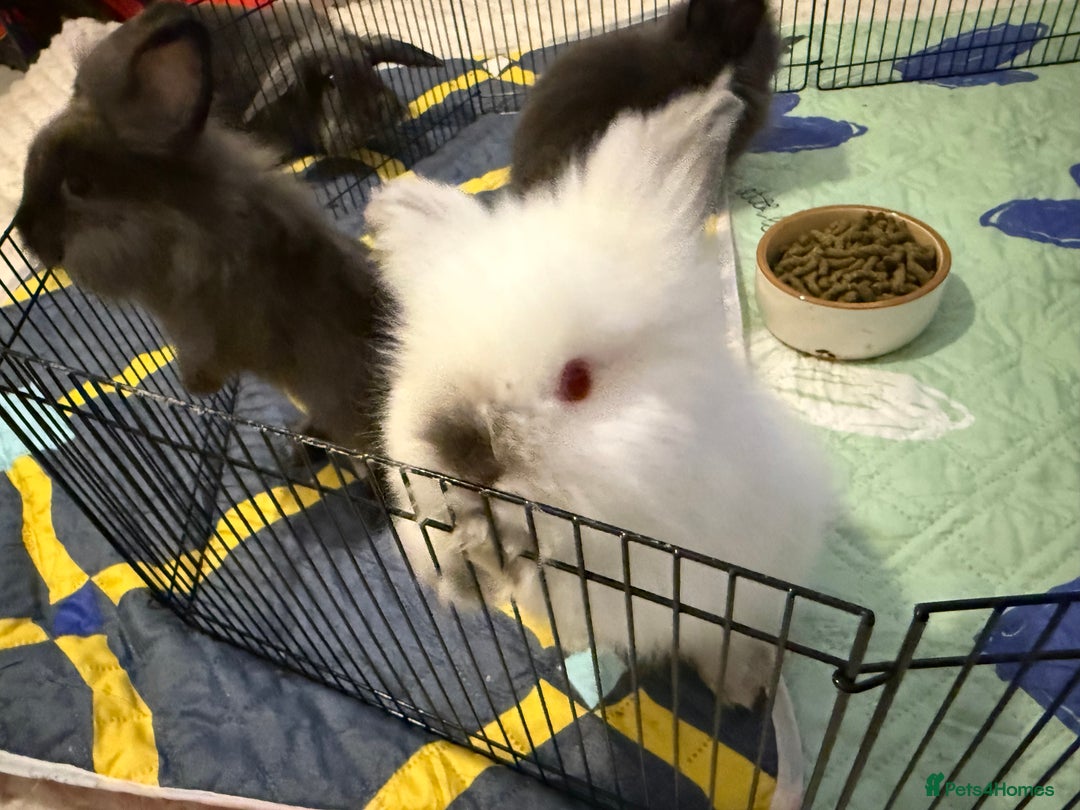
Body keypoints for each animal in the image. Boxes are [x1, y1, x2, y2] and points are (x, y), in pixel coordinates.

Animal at [13, 2, 395, 454]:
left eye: (78, 185)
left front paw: (194, 386)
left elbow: (209, 361)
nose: (26, 236)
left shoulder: (210, 331)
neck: (176, 222)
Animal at [367, 72, 837, 706]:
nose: (462, 449)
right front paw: (465, 571)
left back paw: (740, 686)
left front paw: (498, 539)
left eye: (577, 381)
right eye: (423, 363)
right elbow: (439, 545)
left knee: (729, 638)